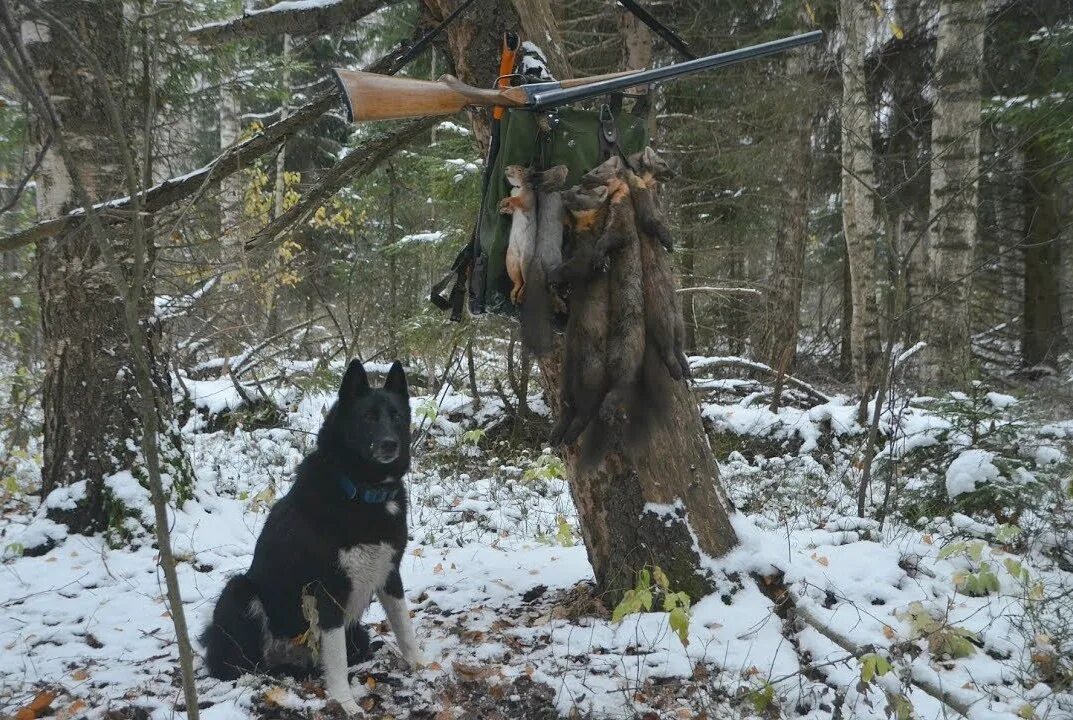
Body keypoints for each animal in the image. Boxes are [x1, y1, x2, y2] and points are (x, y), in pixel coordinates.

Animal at [201, 360, 422, 708]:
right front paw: (346, 703)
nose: (390, 444)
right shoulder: (328, 591)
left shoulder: (390, 574)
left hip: (357, 632)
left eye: (396, 416)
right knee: (236, 665)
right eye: (368, 417)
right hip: (239, 591)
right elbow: (336, 658)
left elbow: (404, 626)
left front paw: (421, 665)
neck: (362, 491)